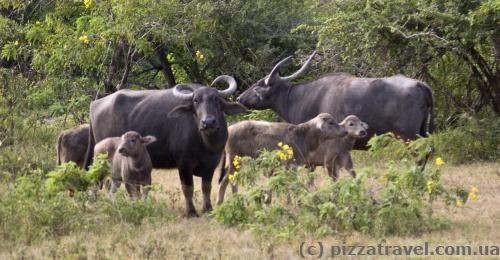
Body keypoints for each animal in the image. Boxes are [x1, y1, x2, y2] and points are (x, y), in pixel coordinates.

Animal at [85, 75, 247, 217]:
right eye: (196, 100)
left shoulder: (211, 164)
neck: (205, 143)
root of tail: (94, 104)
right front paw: (191, 212)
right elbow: (188, 188)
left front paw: (208, 209)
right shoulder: (184, 164)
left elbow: (206, 187)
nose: (208, 122)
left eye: (217, 100)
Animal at [217, 112, 350, 204]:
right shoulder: (290, 166)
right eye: (331, 123)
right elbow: (291, 184)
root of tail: (229, 130)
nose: (345, 131)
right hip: (234, 160)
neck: (302, 136)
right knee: (226, 180)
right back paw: (224, 202)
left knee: (229, 180)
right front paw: (293, 202)